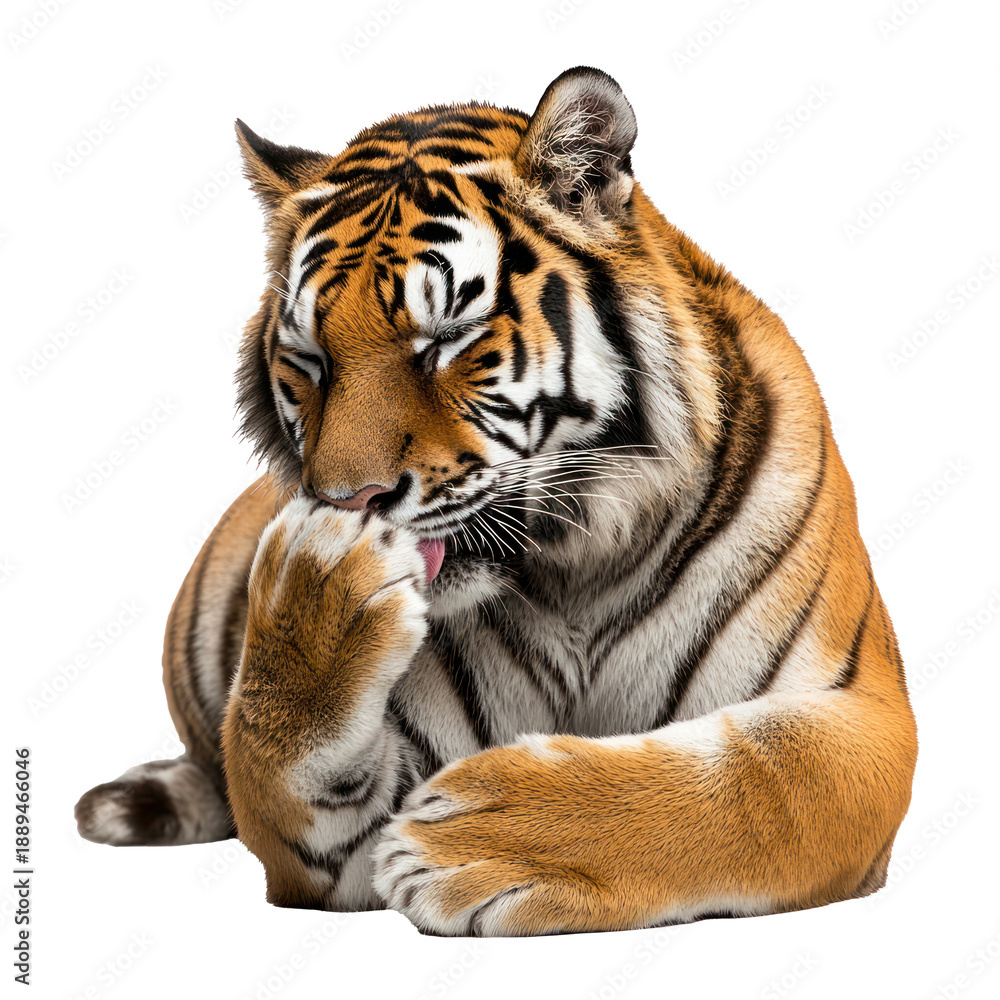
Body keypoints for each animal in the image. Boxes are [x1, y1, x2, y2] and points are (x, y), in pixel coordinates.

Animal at [75, 67, 918, 936]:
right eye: (309, 359)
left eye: (446, 340)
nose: (350, 500)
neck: (576, 560)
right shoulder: (345, 831)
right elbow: (283, 763)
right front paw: (319, 589)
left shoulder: (863, 713)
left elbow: (760, 785)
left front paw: (470, 841)